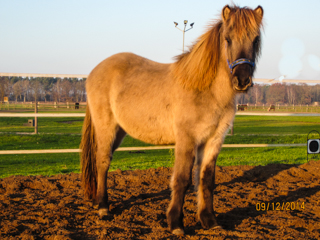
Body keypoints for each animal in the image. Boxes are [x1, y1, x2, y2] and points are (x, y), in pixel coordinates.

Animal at [80, 4, 262, 235]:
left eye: (255, 40)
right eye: (228, 39)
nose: (242, 80)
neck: (204, 89)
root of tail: (94, 71)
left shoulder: (213, 141)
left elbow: (206, 179)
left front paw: (209, 221)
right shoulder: (187, 139)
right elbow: (182, 179)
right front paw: (176, 223)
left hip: (120, 131)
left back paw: (97, 202)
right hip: (107, 128)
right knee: (103, 161)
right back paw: (103, 208)